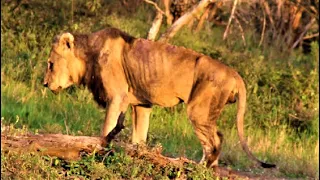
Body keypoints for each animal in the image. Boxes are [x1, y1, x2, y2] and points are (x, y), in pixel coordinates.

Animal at [43, 27, 276, 168]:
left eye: (50, 64)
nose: (45, 84)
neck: (89, 54)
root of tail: (235, 73)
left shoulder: (116, 97)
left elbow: (106, 129)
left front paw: (98, 154)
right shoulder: (141, 104)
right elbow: (139, 137)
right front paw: (137, 156)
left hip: (198, 111)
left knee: (216, 140)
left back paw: (199, 168)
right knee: (216, 139)